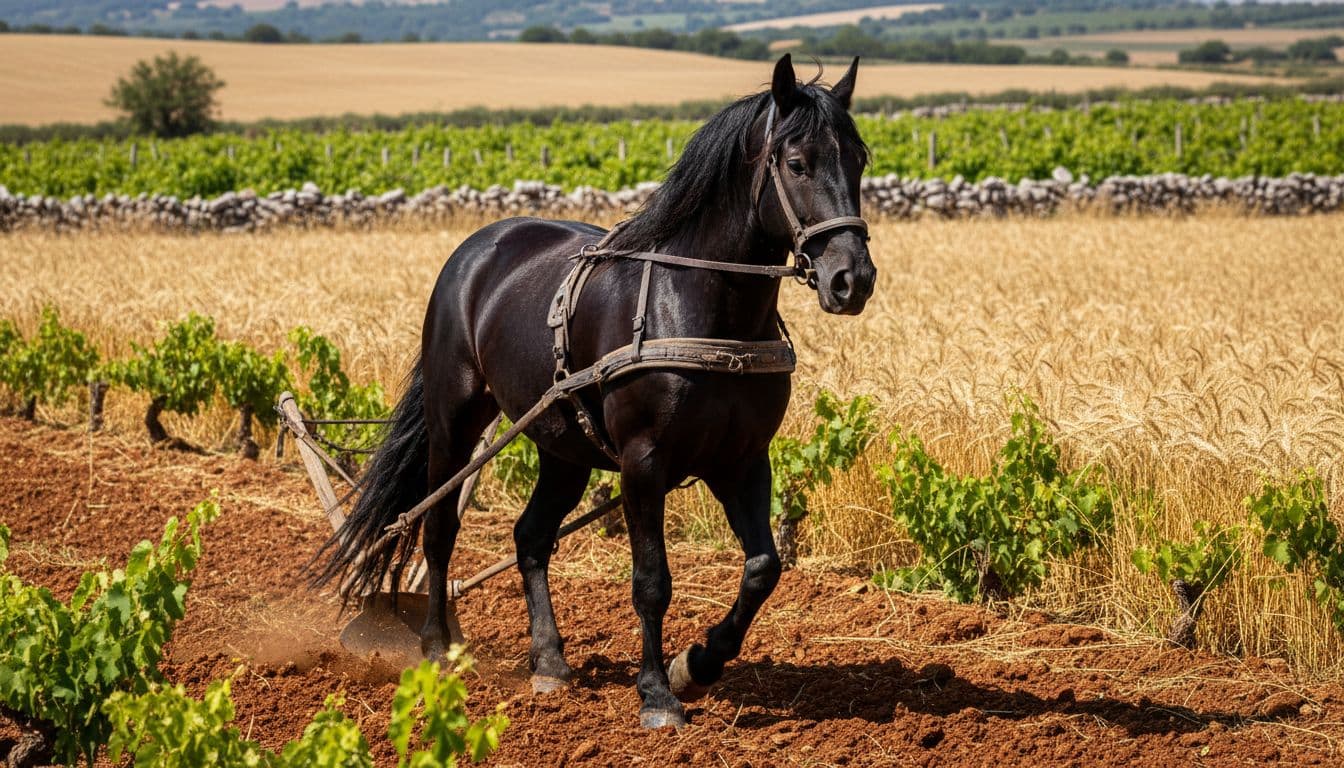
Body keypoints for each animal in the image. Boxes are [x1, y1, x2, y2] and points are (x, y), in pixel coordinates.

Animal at [319, 53, 876, 728]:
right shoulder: (643, 462)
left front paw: (698, 664)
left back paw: (550, 662)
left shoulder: (742, 460)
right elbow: (652, 581)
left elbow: (763, 569)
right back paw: (437, 648)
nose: (853, 280)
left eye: (859, 158)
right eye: (797, 163)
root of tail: (476, 249)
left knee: (530, 537)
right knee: (438, 527)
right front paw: (658, 693)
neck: (705, 310)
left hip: (564, 447)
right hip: (455, 421)